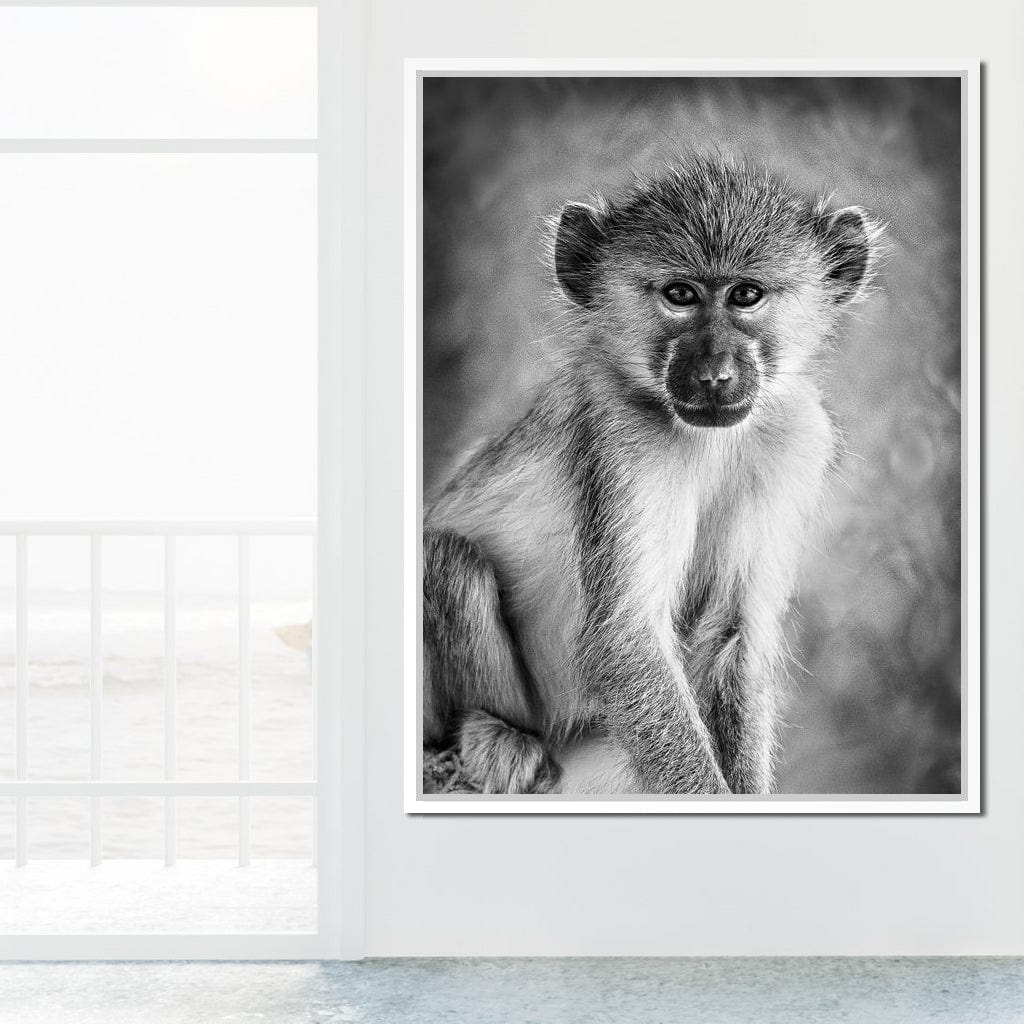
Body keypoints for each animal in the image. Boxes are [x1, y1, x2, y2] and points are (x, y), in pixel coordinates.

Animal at [422, 156, 881, 796]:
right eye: (680, 295)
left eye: (746, 295)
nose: (715, 374)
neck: (711, 441)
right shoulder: (624, 437)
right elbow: (626, 640)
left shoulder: (797, 438)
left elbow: (733, 635)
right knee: (448, 561)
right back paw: (491, 731)